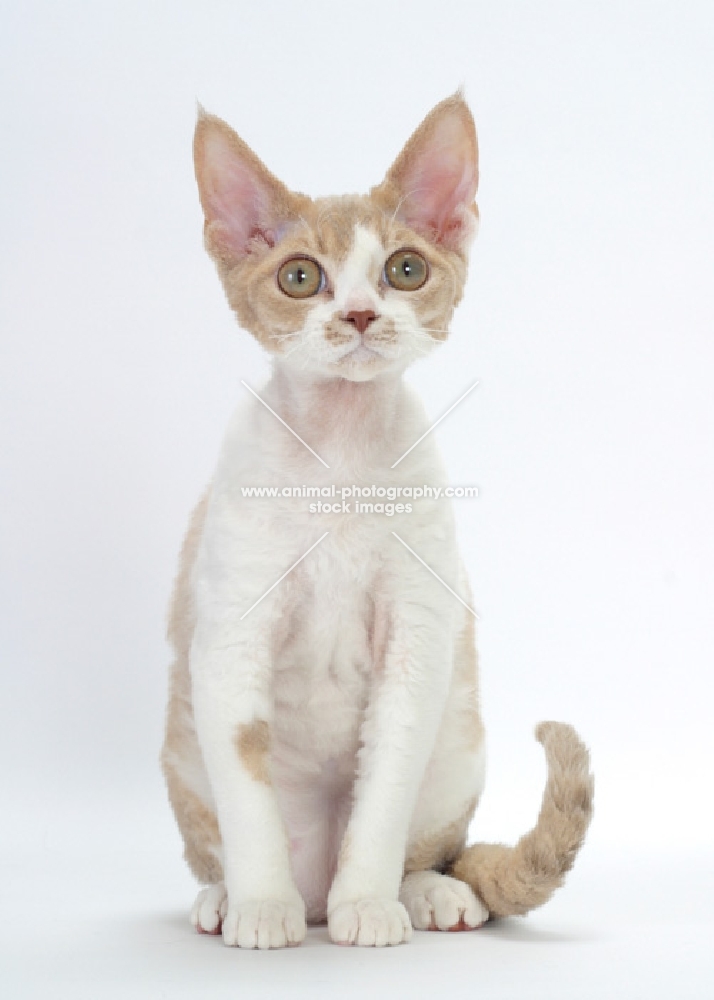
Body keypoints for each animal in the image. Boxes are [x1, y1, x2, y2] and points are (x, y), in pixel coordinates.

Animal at [160, 90, 588, 948]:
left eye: (405, 269)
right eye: (300, 277)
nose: (359, 314)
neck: (339, 458)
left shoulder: (417, 641)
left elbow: (384, 789)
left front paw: (369, 904)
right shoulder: (230, 639)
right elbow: (247, 793)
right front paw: (261, 908)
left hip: (460, 742)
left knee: (432, 843)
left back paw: (422, 894)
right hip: (182, 749)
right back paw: (230, 899)